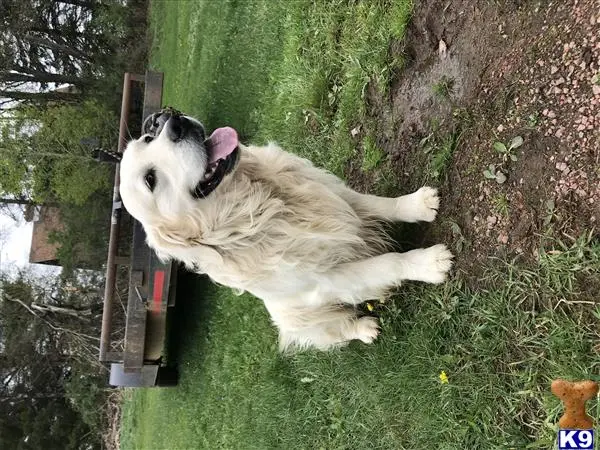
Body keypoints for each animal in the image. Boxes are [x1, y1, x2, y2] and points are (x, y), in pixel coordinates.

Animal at [119, 109, 452, 352]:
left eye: (148, 136)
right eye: (150, 180)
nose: (169, 119)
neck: (262, 205)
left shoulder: (338, 197)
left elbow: (381, 204)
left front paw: (419, 204)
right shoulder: (331, 277)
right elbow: (389, 263)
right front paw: (429, 263)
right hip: (306, 319)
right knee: (337, 331)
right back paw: (365, 329)